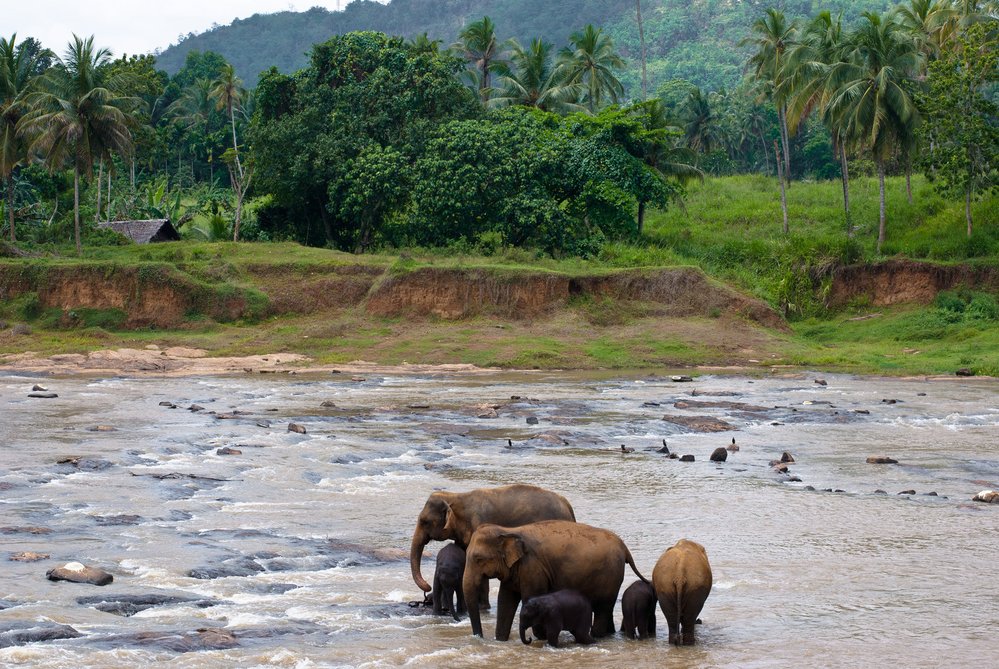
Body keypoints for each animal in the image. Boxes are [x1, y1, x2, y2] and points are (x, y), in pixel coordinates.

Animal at [462, 520, 648, 640]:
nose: (480, 638)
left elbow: (529, 598)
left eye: (478, 559)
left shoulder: (533, 568)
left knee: (602, 608)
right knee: (606, 609)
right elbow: (505, 600)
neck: (508, 530)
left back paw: (595, 636)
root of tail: (624, 547)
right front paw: (501, 640)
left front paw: (542, 636)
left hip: (609, 576)